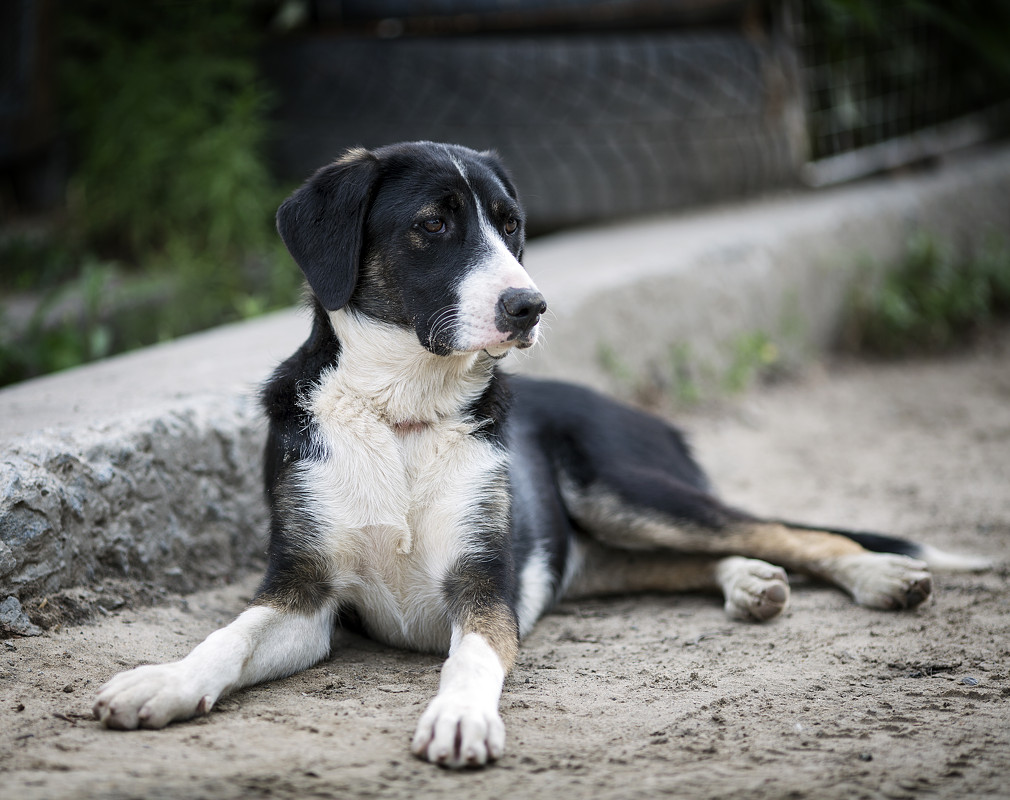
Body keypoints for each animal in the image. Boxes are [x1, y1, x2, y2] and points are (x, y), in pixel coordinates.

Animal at [92, 142, 977, 767]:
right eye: (433, 224)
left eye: (511, 223)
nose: (530, 305)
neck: (403, 414)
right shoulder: (304, 594)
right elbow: (229, 638)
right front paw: (165, 682)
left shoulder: (485, 587)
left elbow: (472, 660)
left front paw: (458, 717)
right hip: (593, 543)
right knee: (694, 556)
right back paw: (749, 584)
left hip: (624, 487)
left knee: (786, 531)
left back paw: (879, 576)